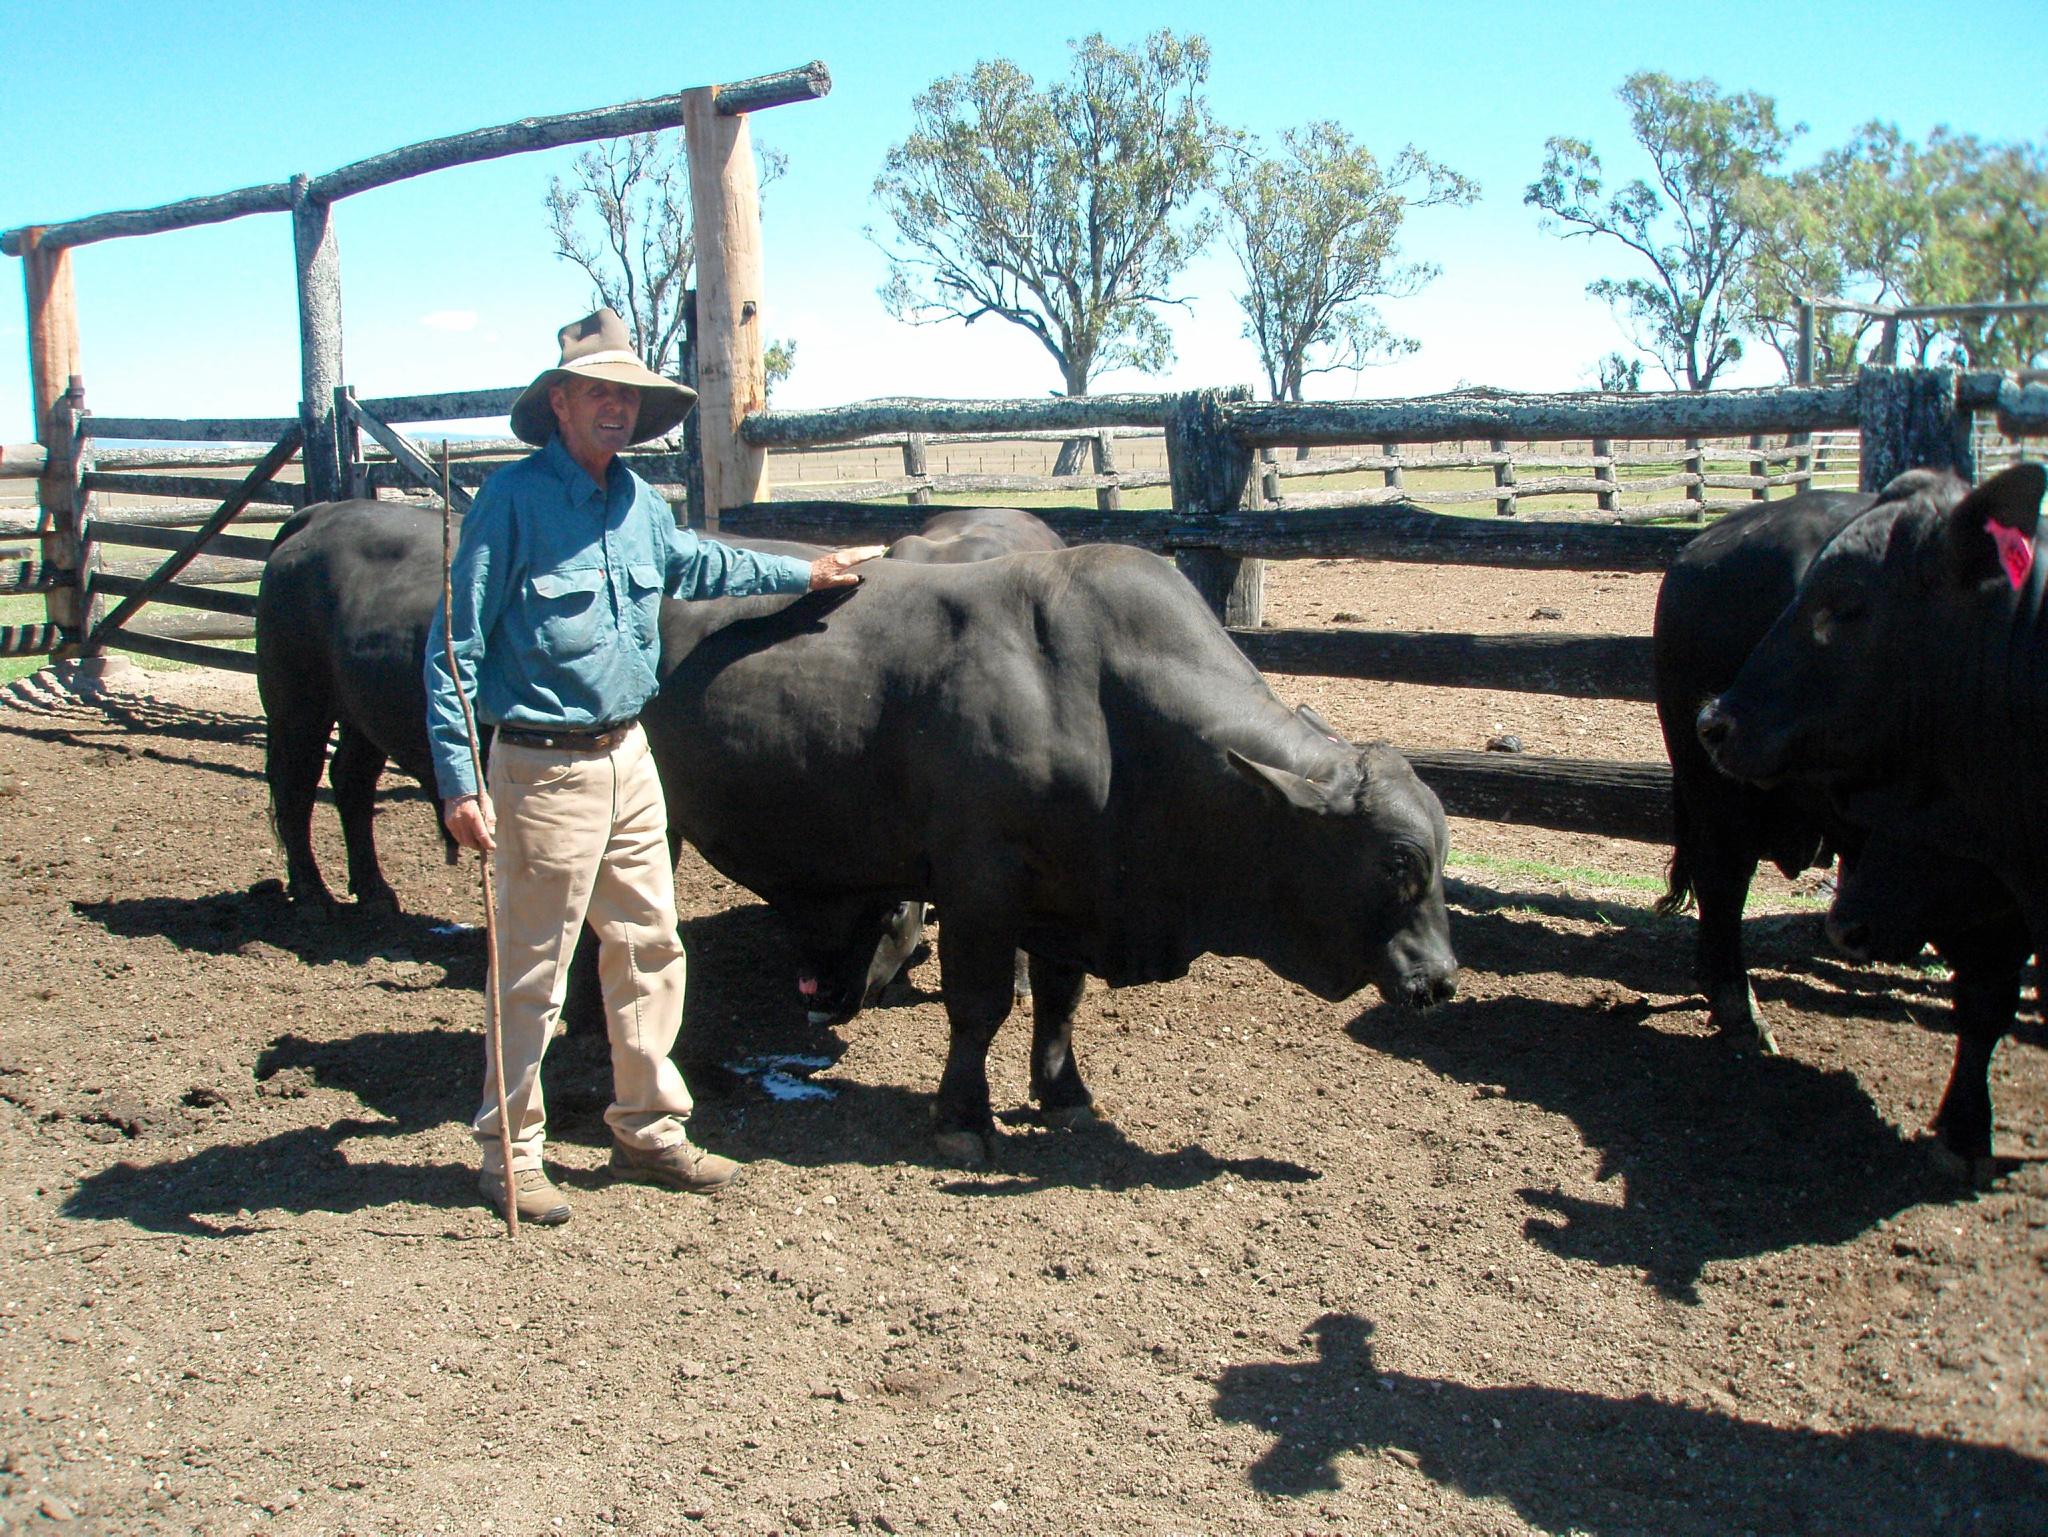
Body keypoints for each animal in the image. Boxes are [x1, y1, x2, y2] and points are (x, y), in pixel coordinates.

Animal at [638, 549, 1458, 1164]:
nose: (1442, 979)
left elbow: (1060, 1004)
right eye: (1398, 862)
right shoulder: (979, 886)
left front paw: (1065, 1095)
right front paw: (963, 1118)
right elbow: (978, 1008)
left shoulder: (1072, 895)